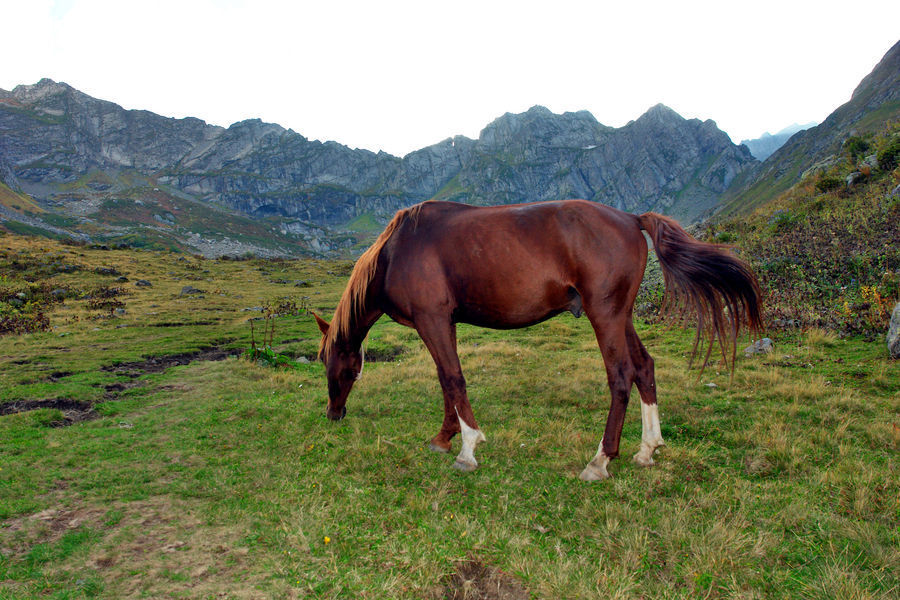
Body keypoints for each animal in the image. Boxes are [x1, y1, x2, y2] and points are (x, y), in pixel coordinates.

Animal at [313, 199, 761, 480]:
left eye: (334, 366)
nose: (333, 414)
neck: (398, 250)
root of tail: (630, 218)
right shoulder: (443, 323)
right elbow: (445, 380)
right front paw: (444, 437)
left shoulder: (433, 320)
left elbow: (454, 379)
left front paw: (468, 448)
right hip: (622, 317)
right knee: (644, 368)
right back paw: (647, 449)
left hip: (605, 316)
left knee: (621, 376)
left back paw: (601, 459)